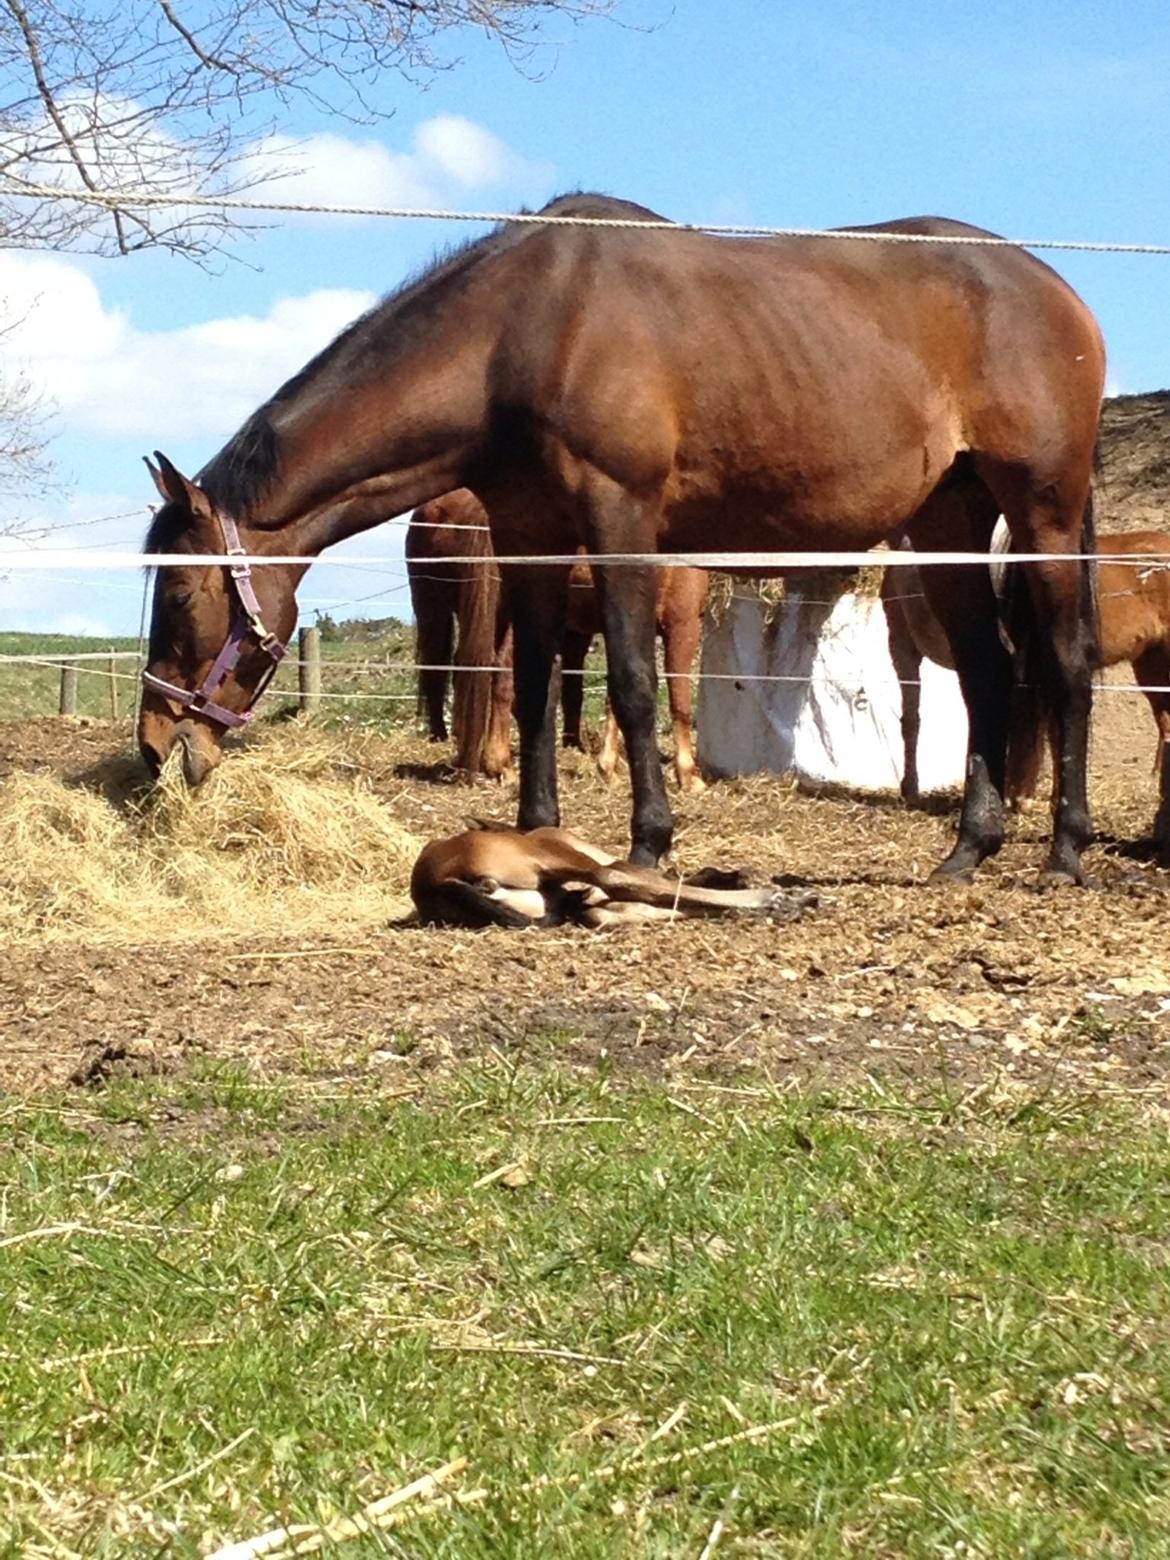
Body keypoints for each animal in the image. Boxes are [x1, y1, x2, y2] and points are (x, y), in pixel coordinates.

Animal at [139, 188, 1110, 886]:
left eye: (180, 592)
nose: (154, 746)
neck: (525, 332)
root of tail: (1057, 293)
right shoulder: (531, 539)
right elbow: (534, 691)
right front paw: (536, 830)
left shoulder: (621, 524)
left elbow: (636, 686)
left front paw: (649, 841)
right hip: (950, 520)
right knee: (988, 671)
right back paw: (967, 851)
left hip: (1045, 513)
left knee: (1064, 662)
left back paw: (1064, 852)